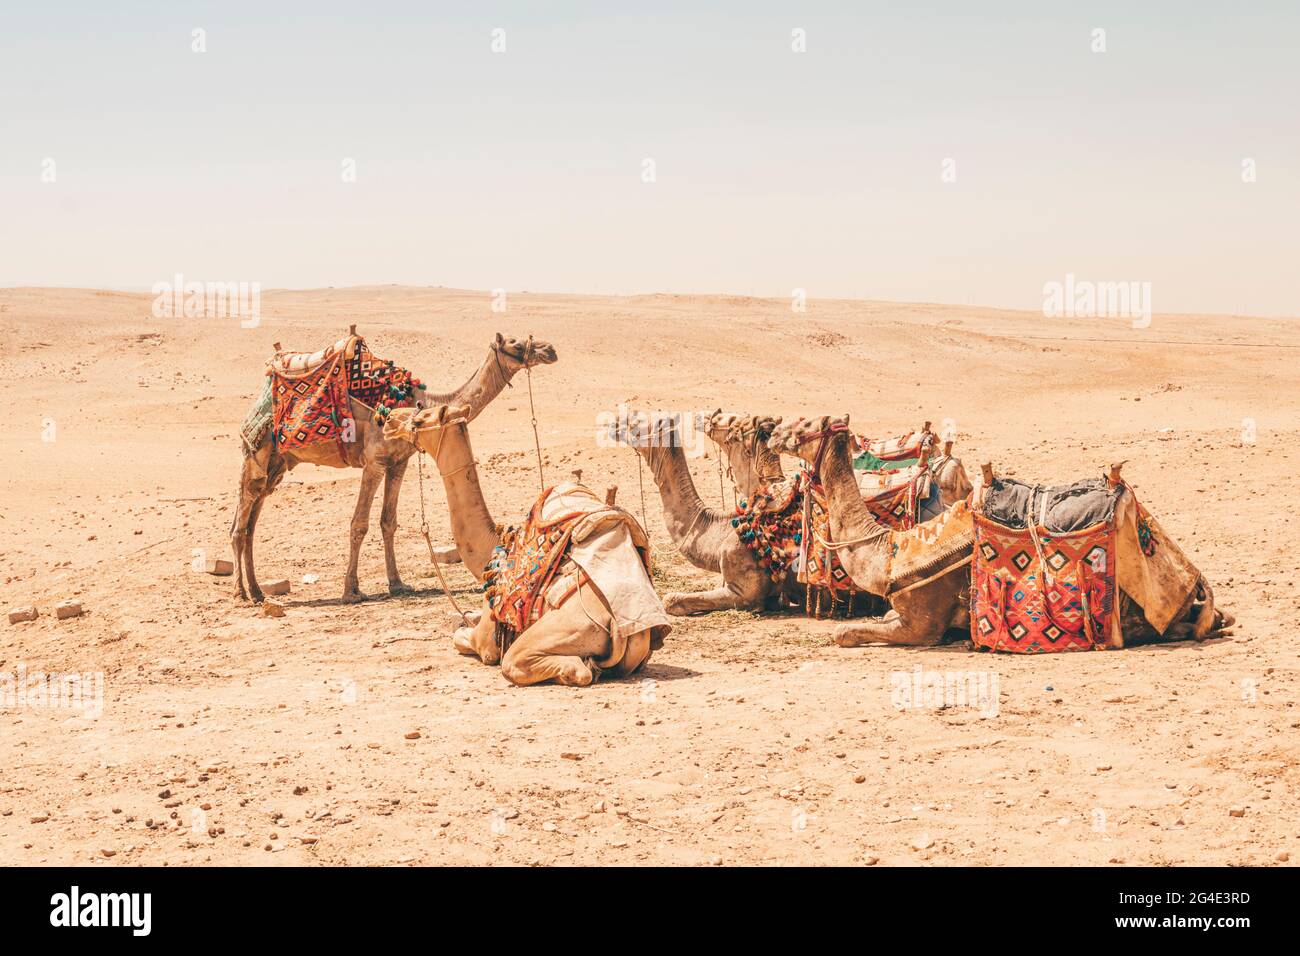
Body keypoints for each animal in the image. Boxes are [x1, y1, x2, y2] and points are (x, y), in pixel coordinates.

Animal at [231, 332, 556, 600]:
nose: (550, 349)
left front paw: (397, 583)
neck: (423, 402)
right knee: (240, 524)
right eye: (515, 343)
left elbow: (388, 522)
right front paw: (352, 590)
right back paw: (241, 594)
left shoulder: (399, 463)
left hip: (278, 464)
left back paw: (257, 590)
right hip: (257, 455)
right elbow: (359, 524)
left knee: (251, 523)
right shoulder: (374, 462)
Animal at [379, 405, 670, 686]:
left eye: (421, 418)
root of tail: (628, 631)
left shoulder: (486, 638)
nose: (389, 420)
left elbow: (461, 637)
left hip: (557, 632)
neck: (495, 549)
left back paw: (582, 666)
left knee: (543, 667)